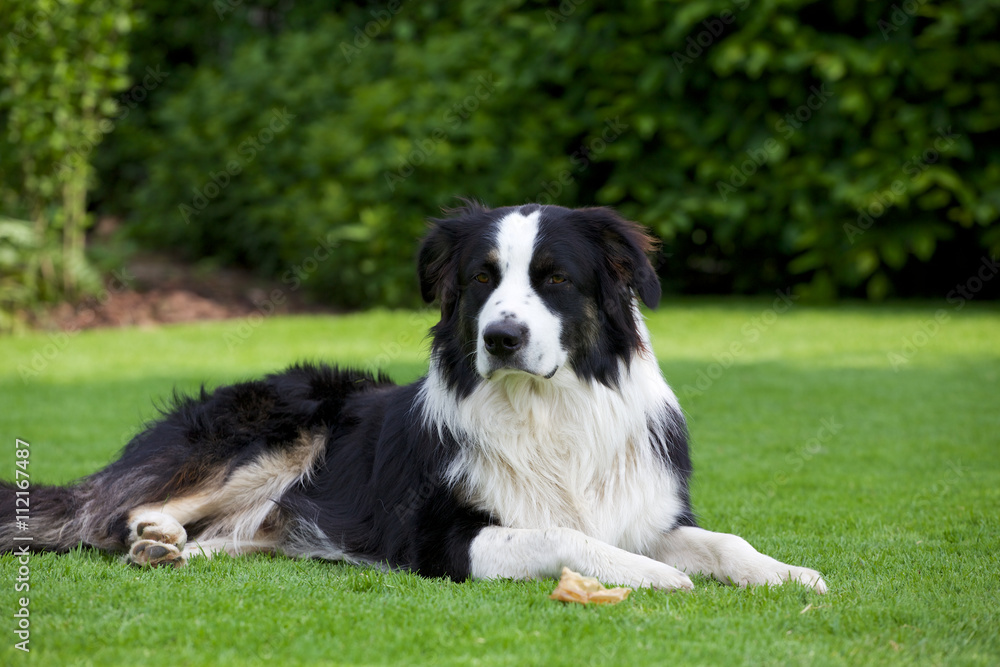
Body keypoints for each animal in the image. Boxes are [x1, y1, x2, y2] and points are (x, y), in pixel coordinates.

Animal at [0, 205, 828, 596]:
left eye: (555, 277)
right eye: (482, 278)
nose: (500, 336)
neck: (548, 409)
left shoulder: (646, 512)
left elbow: (724, 542)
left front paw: (789, 572)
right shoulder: (442, 536)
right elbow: (560, 532)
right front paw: (649, 575)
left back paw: (179, 548)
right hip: (288, 418)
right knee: (122, 510)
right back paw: (154, 537)